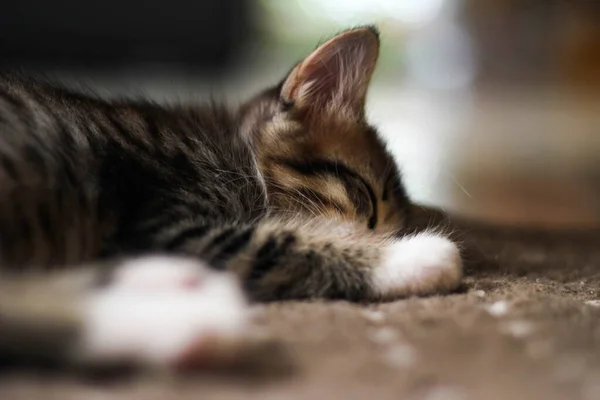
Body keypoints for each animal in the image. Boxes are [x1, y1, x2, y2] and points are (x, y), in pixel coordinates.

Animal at [0, 27, 462, 372]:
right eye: (364, 198)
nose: (380, 234)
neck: (232, 153)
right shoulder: (164, 224)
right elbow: (279, 243)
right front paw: (415, 255)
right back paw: (173, 323)